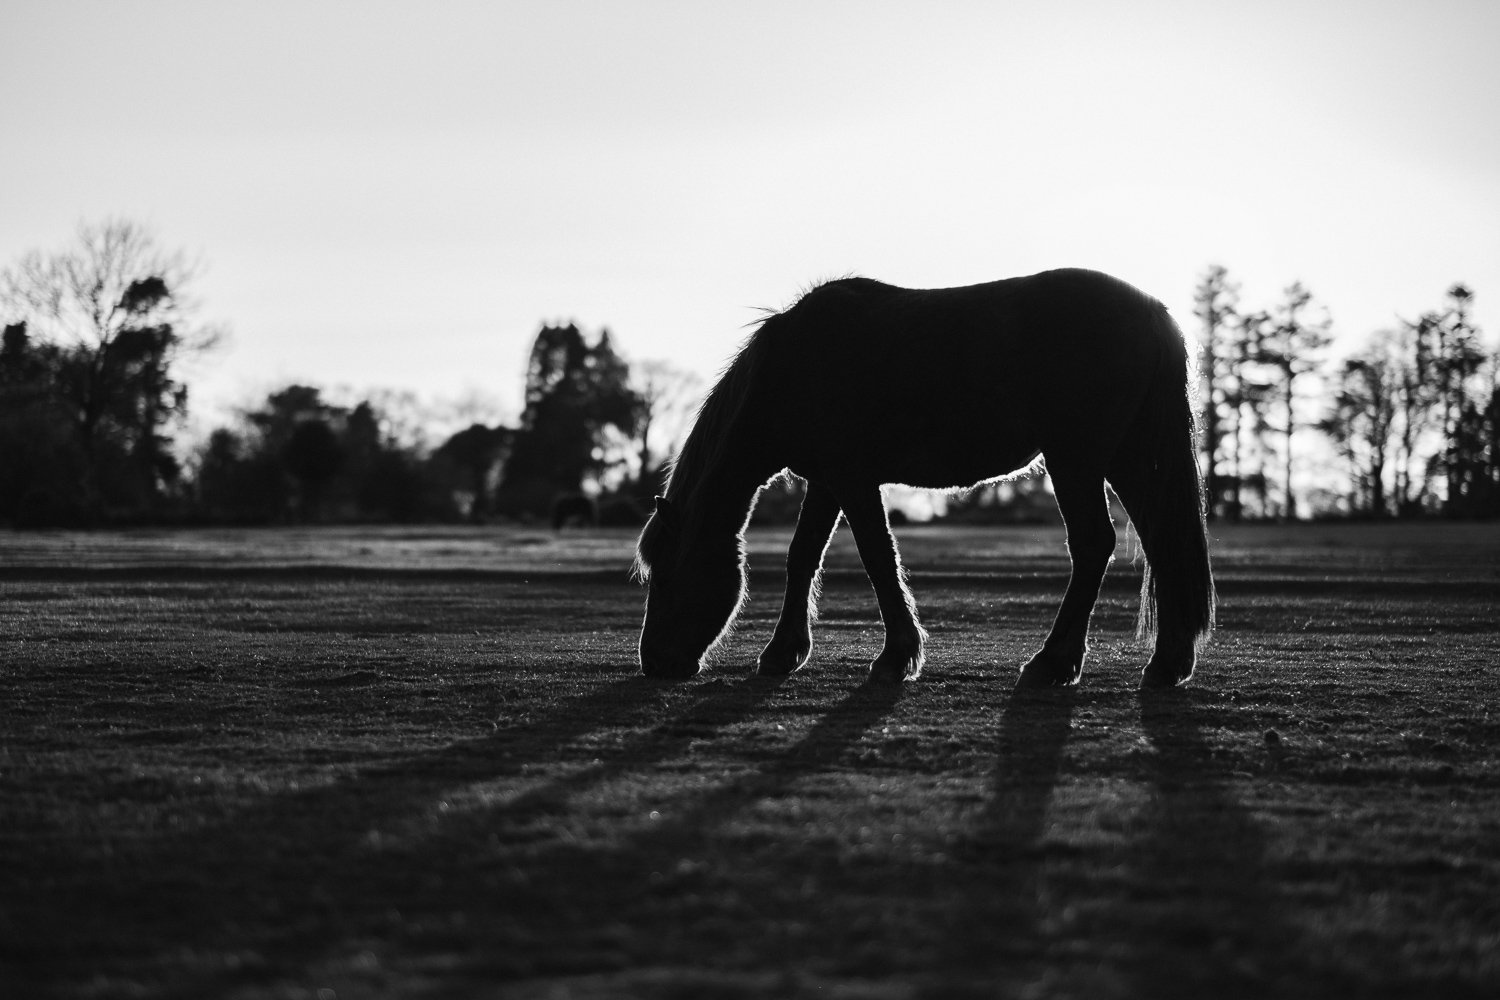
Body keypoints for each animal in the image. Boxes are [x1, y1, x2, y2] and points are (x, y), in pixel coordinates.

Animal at [632, 268, 1215, 689]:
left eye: (667, 572)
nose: (654, 661)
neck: (793, 365)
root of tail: (1151, 311)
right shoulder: (826, 481)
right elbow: (803, 556)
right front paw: (783, 652)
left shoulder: (851, 477)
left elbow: (876, 556)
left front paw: (897, 657)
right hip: (1127, 460)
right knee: (1163, 542)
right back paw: (1167, 664)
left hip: (1078, 460)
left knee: (1095, 545)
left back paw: (1052, 663)